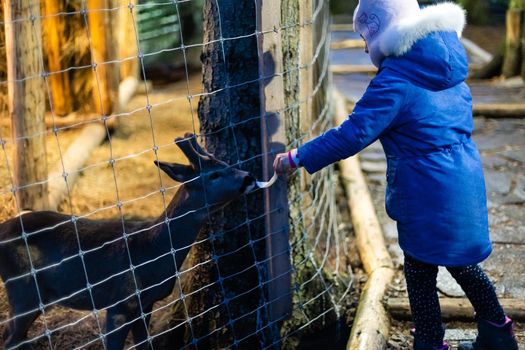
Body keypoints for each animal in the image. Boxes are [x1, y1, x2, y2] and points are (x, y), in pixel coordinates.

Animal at [0, 133, 256, 348]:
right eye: (214, 175)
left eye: (225, 164)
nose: (249, 177)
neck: (152, 250)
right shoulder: (120, 304)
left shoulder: (145, 305)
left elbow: (144, 344)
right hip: (23, 289)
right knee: (10, 340)